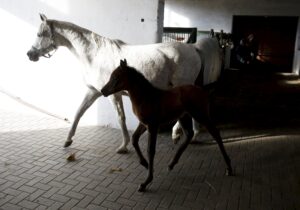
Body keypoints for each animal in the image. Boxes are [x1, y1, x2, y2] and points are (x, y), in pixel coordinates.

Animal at [26, 14, 223, 153]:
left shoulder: (113, 94)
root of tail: (194, 48)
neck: (95, 54)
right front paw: (68, 140)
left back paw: (179, 134)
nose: (30, 54)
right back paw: (190, 134)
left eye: (39, 34)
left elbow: (121, 118)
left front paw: (123, 146)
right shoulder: (93, 91)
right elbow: (79, 112)